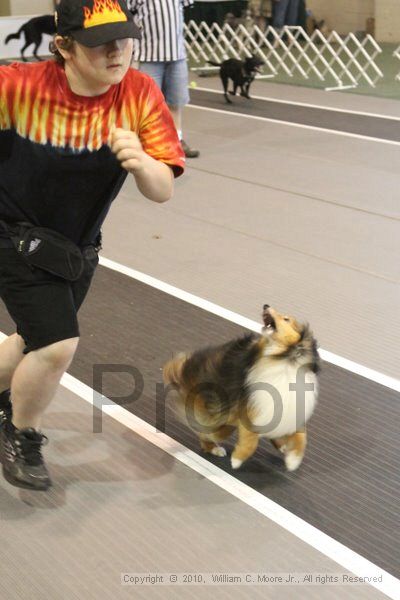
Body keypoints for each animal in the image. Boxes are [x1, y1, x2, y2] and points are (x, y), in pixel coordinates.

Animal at [162, 308, 318, 472]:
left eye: (286, 319)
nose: (266, 306)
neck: (284, 359)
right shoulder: (252, 411)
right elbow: (251, 441)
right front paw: (236, 460)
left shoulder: (292, 408)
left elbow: (302, 438)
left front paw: (293, 461)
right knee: (209, 433)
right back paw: (214, 448)